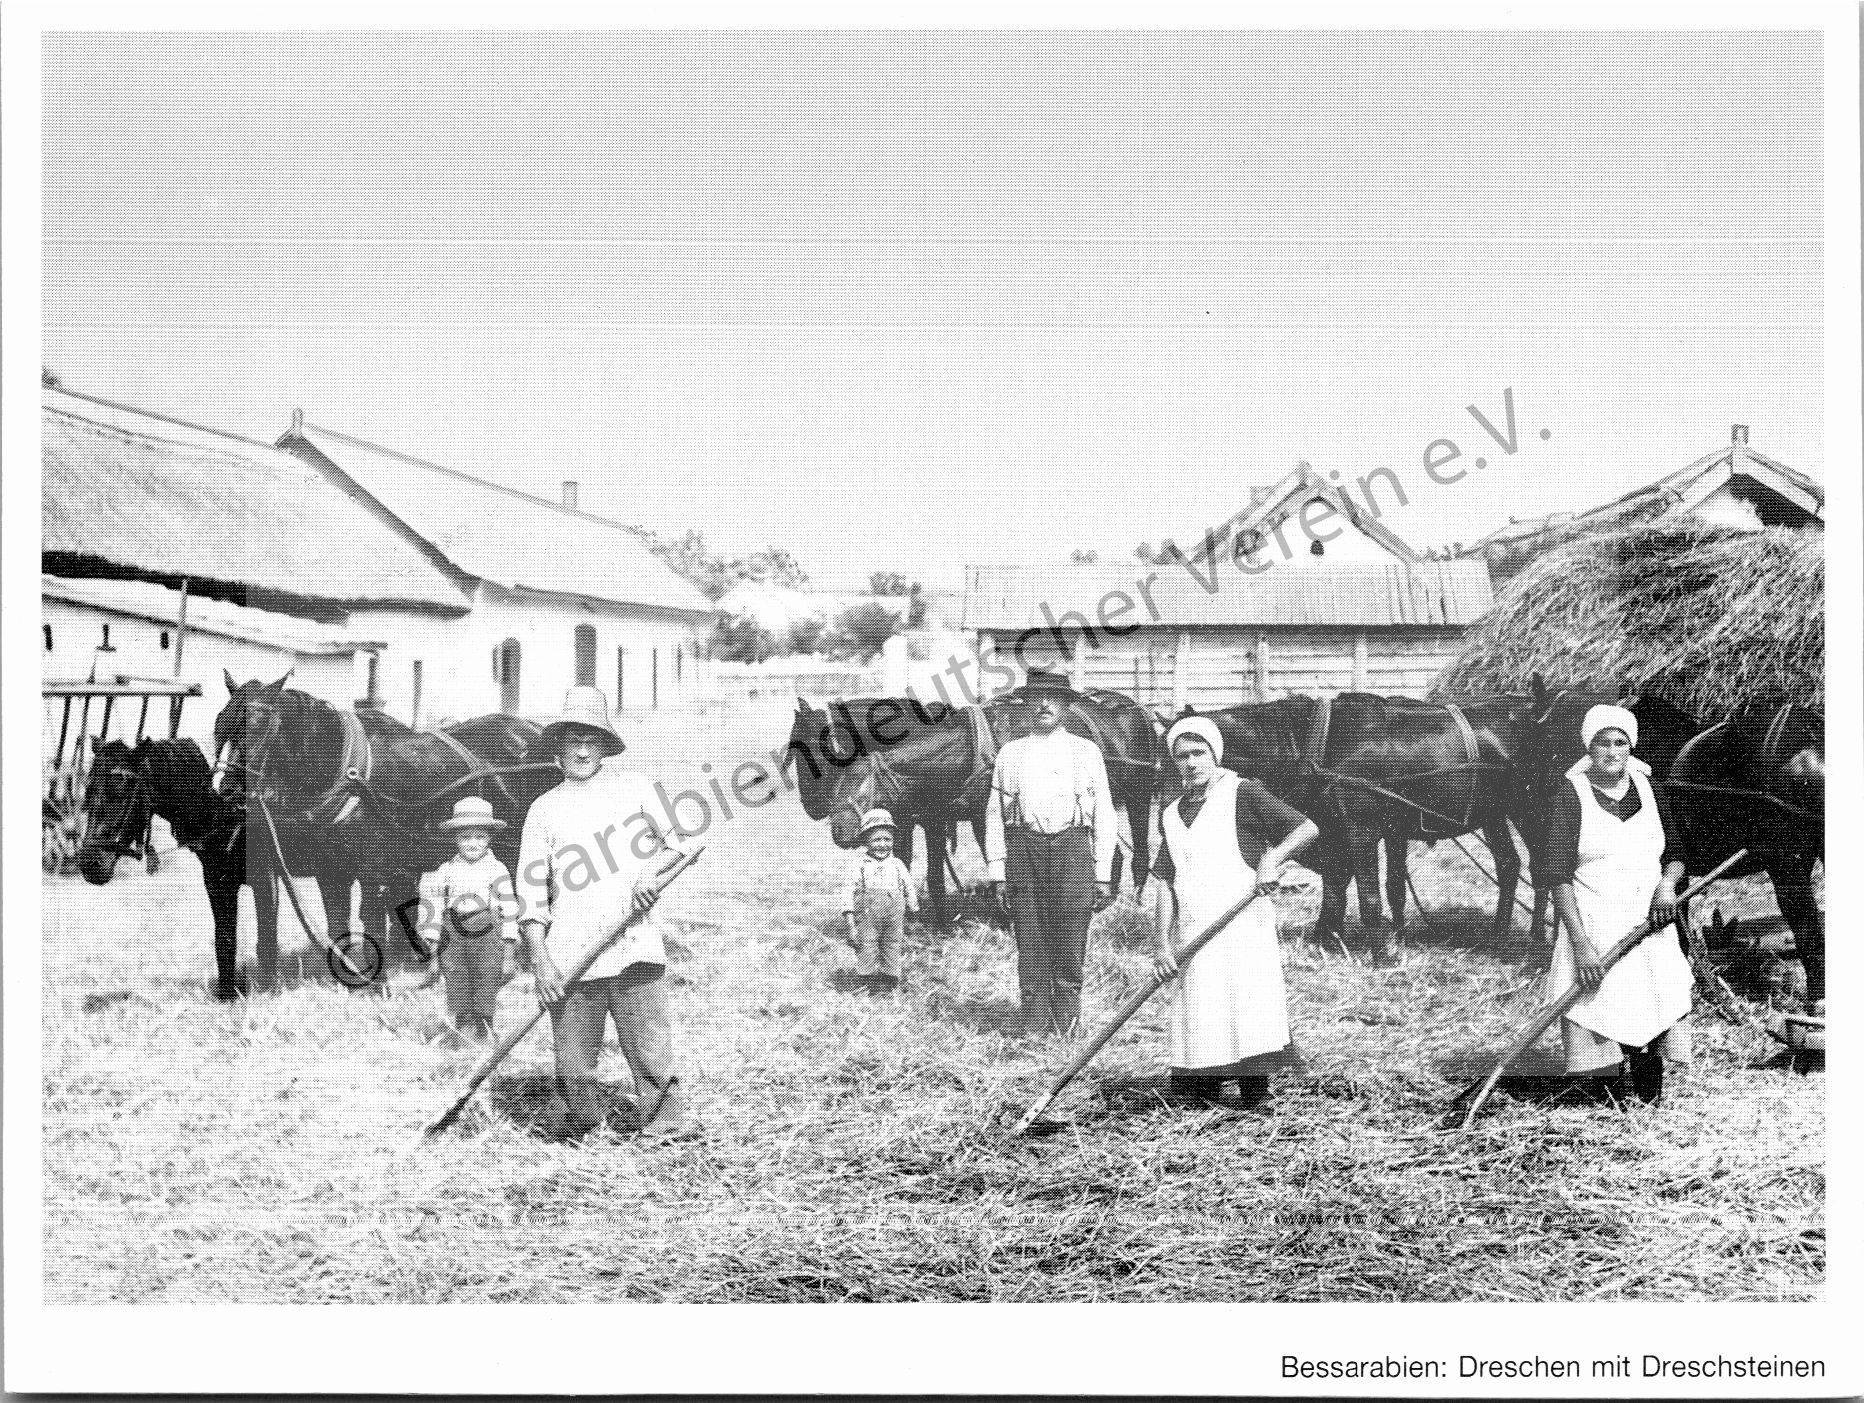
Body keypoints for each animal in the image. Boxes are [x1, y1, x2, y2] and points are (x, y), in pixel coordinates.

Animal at [76, 735, 277, 1000]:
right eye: (88, 791)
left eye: (122, 790)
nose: (90, 864)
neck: (227, 818)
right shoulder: (217, 882)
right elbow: (224, 939)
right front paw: (227, 996)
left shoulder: (266, 879)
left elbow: (267, 937)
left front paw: (269, 990)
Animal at [213, 675, 555, 977]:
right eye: (221, 723)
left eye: (259, 723)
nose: (229, 789)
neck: (343, 771)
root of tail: (533, 731)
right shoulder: (330, 870)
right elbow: (334, 922)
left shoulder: (372, 869)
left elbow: (372, 918)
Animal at [787, 686, 1163, 925]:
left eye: (817, 748)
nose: (812, 806)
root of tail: (1136, 709)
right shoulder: (925, 817)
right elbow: (920, 869)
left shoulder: (980, 818)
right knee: (1113, 852)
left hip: (1138, 797)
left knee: (1140, 854)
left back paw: (1133, 905)